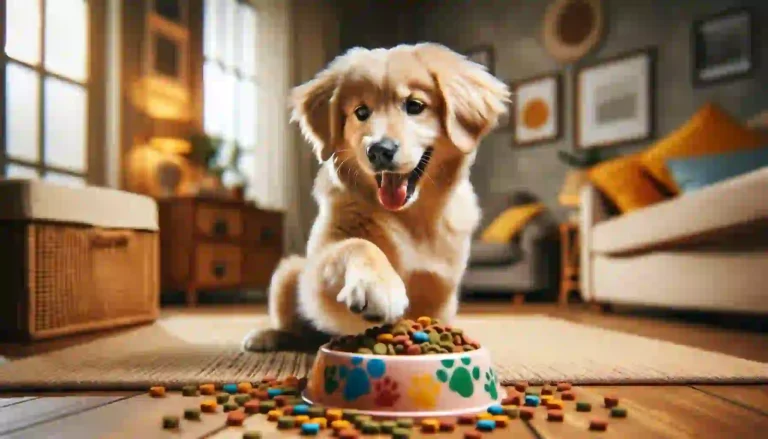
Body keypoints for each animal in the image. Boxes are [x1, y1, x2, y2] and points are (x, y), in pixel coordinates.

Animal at [243, 43, 510, 352]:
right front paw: (378, 286)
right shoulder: (319, 265)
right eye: (361, 112)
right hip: (288, 272)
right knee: (299, 329)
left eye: (414, 106)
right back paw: (268, 336)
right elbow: (357, 244)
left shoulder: (442, 285)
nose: (379, 150)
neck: (409, 218)